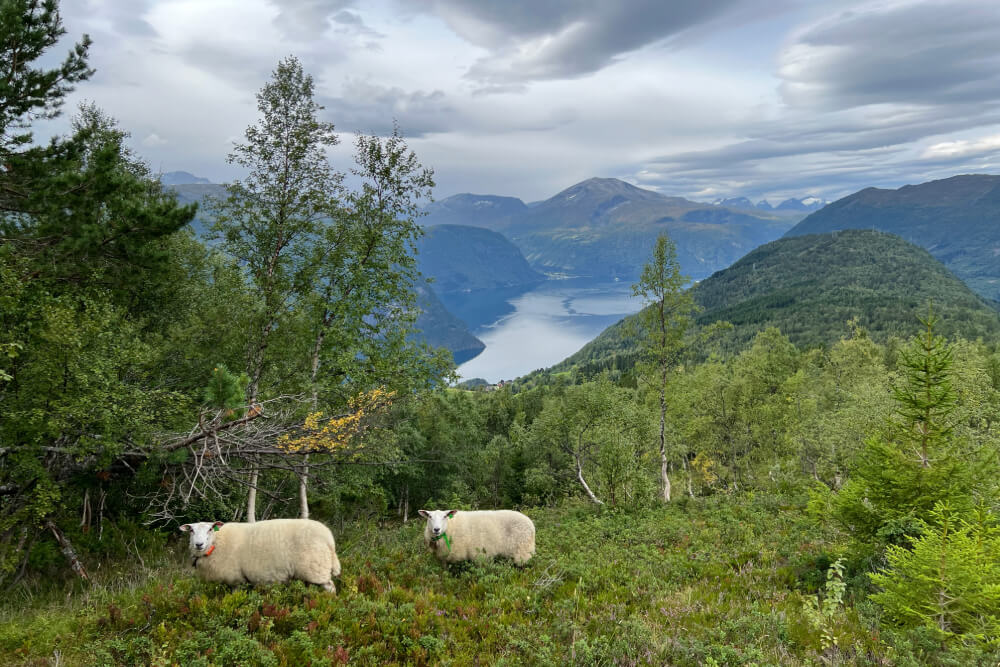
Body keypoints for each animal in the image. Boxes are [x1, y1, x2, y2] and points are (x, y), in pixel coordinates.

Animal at [179, 518, 341, 592]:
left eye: (210, 529)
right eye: (191, 530)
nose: (198, 544)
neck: (216, 543)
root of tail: (329, 538)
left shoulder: (235, 579)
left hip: (316, 568)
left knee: (330, 587)